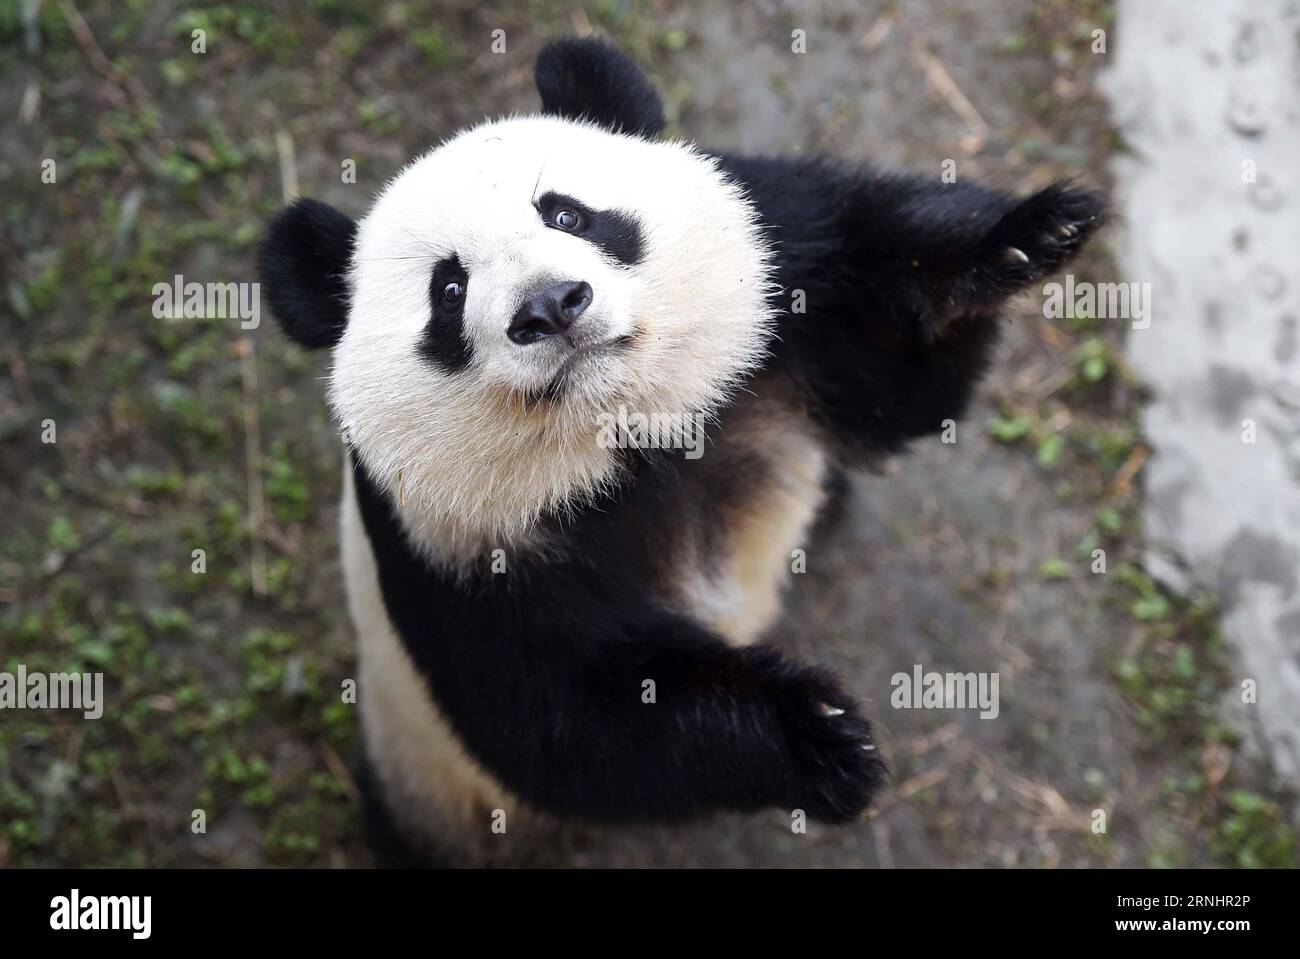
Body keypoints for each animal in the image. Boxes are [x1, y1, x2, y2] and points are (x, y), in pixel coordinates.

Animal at [258, 37, 1102, 862]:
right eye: (449, 290)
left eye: (567, 213)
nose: (549, 307)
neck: (629, 431)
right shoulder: (447, 543)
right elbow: (567, 718)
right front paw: (818, 739)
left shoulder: (783, 295)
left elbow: (895, 379)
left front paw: (1023, 240)